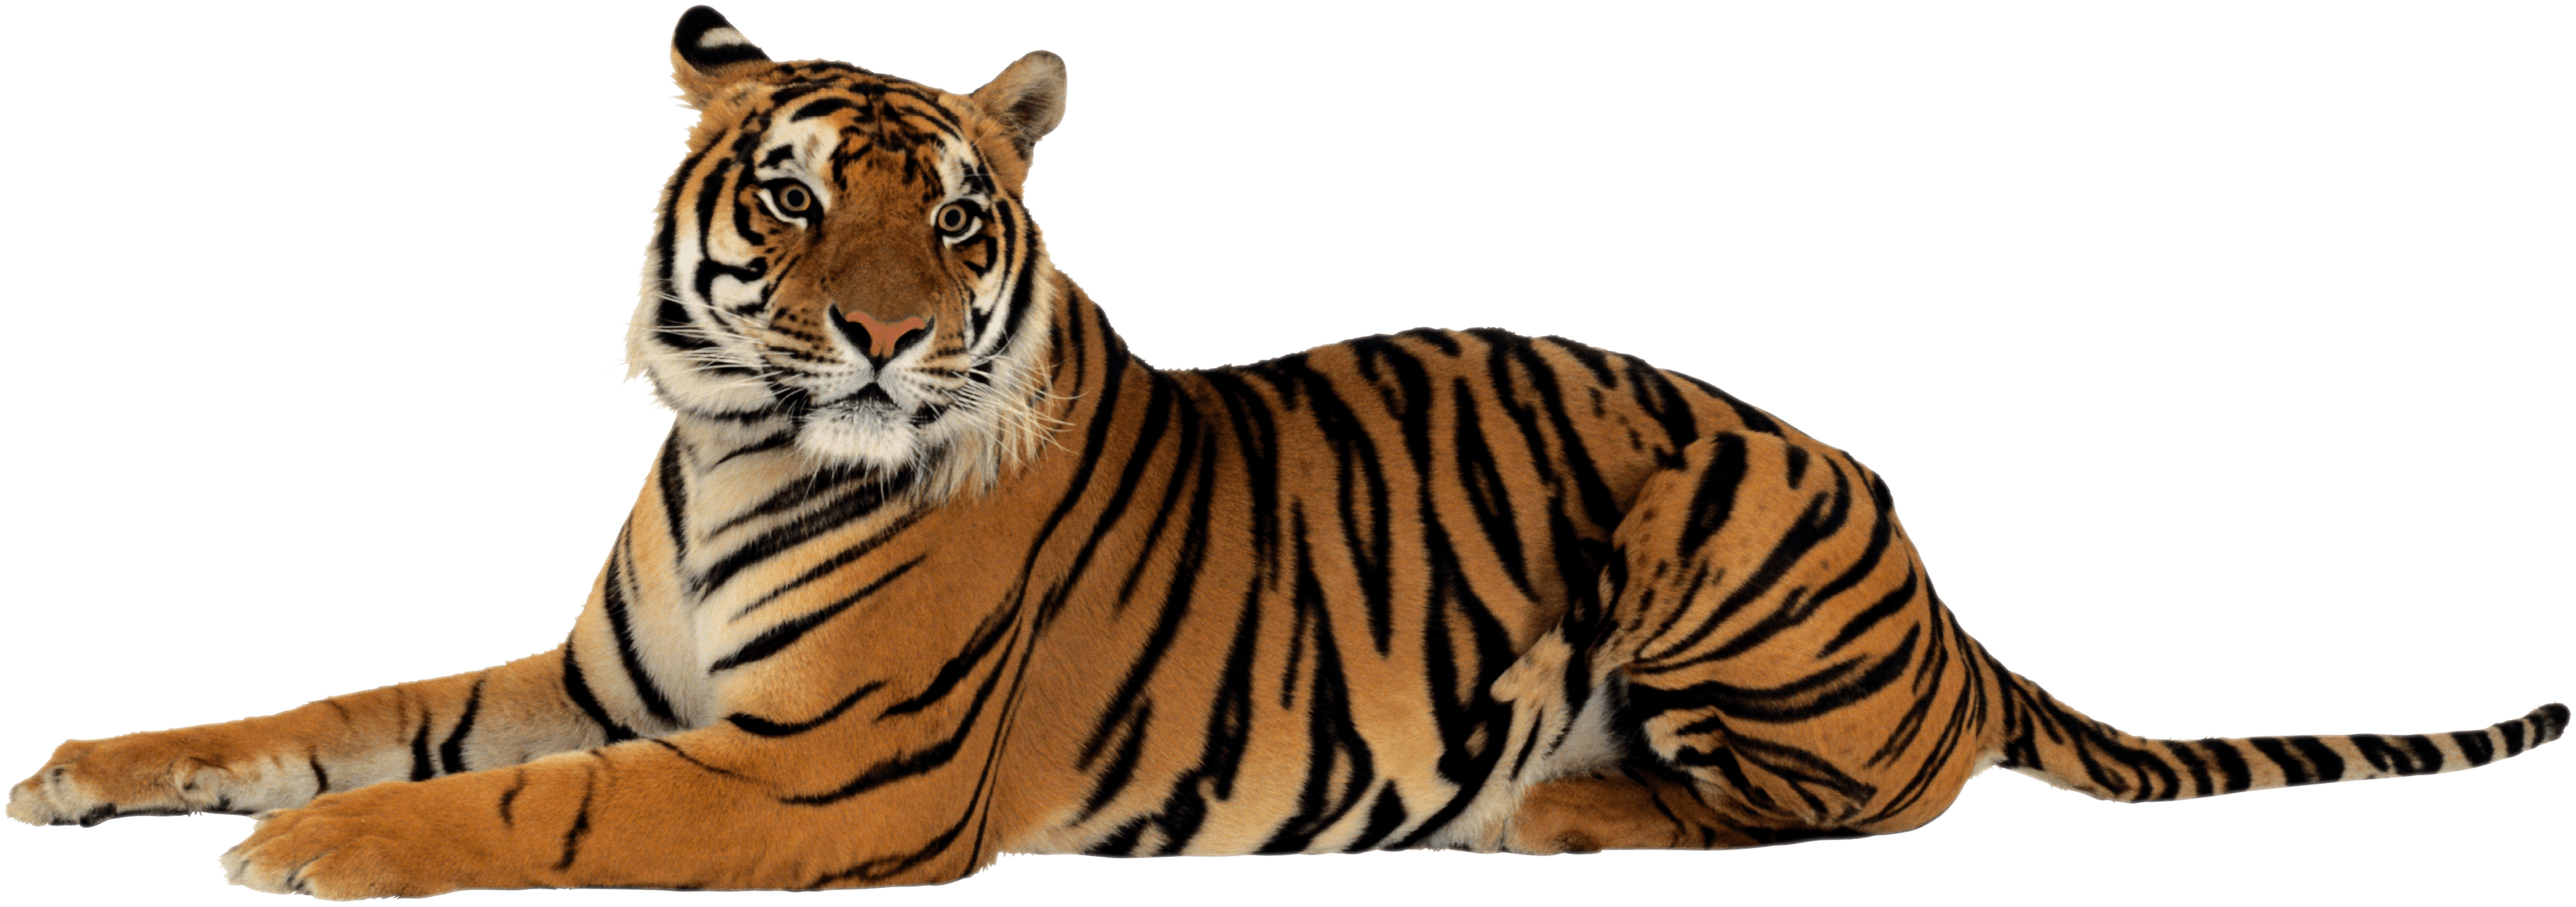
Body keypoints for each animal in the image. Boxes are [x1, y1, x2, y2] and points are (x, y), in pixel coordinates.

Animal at [6, 2, 2564, 900]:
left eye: (956, 219)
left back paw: (1562, 804)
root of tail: (1944, 597)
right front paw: (89, 773)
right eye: (791, 197)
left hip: (1713, 515)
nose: (887, 338)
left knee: (1864, 792)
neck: (734, 451)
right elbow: (341, 711)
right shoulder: (607, 678)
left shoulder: (815, 772)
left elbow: (520, 809)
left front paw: (305, 860)